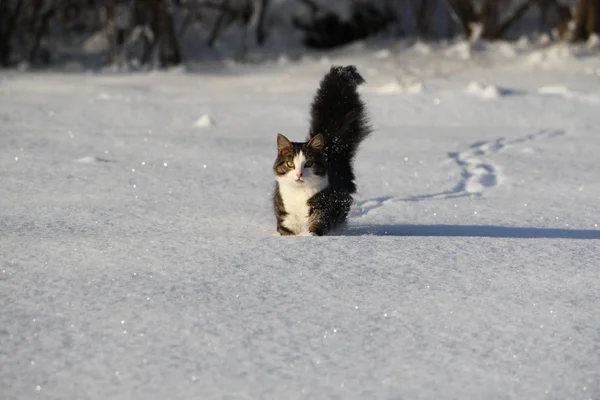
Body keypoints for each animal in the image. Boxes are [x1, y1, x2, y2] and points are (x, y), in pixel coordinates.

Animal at [272, 64, 370, 236]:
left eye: (308, 163)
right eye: (290, 164)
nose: (299, 175)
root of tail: (330, 148)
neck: (299, 195)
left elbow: (316, 229)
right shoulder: (284, 216)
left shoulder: (323, 209)